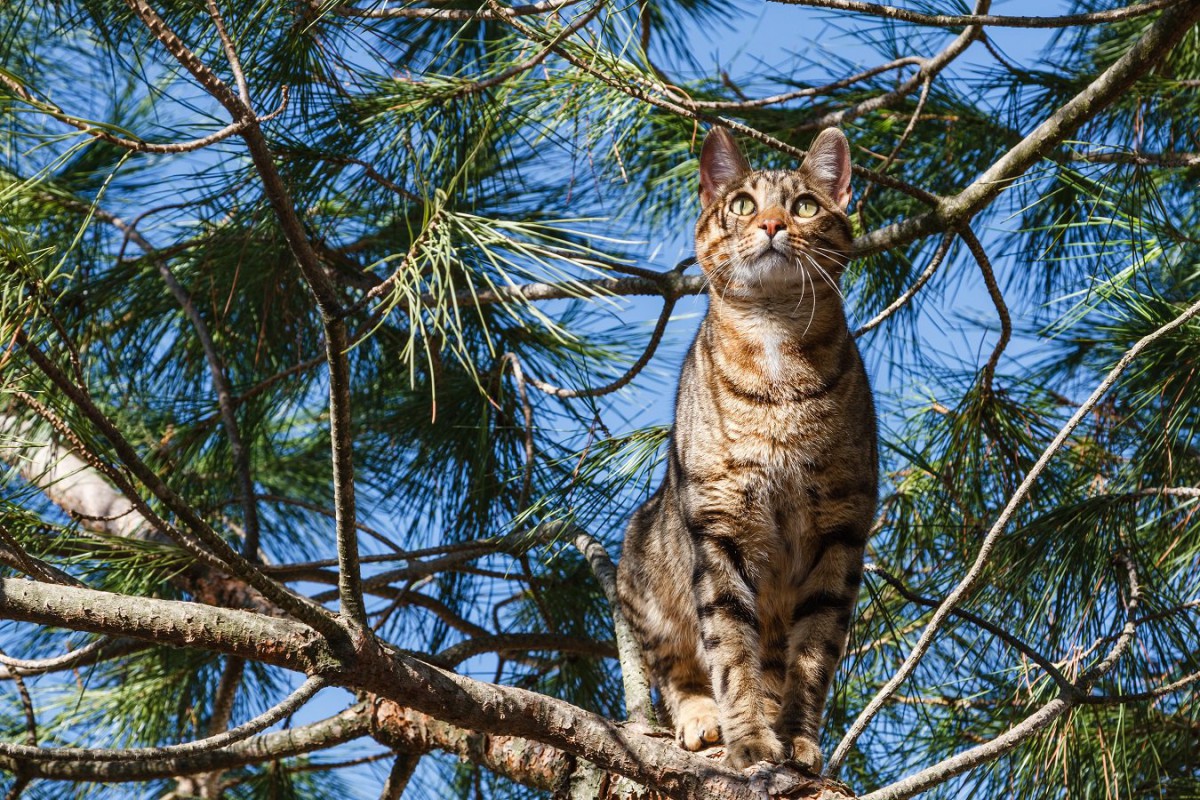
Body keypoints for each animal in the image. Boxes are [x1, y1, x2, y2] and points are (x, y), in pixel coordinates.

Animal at [614, 128, 878, 772]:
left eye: (804, 205)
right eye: (741, 204)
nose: (773, 224)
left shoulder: (841, 532)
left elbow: (813, 657)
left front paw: (796, 738)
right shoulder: (720, 526)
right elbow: (730, 646)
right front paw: (749, 739)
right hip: (644, 569)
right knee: (678, 667)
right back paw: (702, 720)